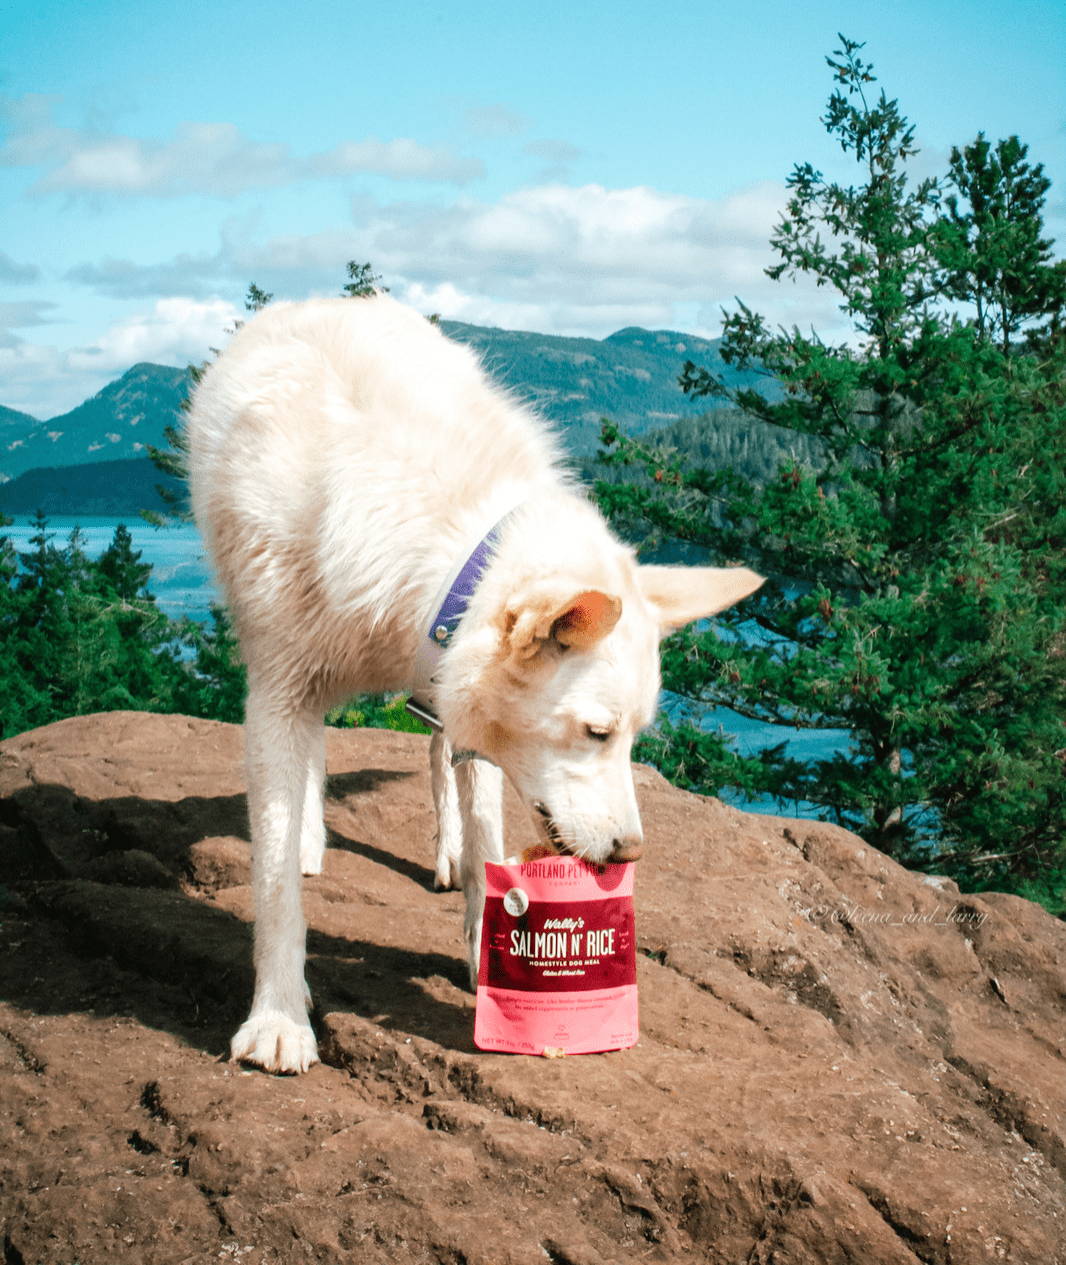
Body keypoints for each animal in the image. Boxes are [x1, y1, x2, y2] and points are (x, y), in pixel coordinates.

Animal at [185, 298, 768, 1077]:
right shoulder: (279, 684)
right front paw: (278, 1018)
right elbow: (274, 877)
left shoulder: (460, 694)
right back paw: (312, 841)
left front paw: (488, 940)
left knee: (440, 760)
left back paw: (447, 853)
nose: (630, 853)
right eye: (598, 733)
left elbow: (485, 826)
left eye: (632, 739)